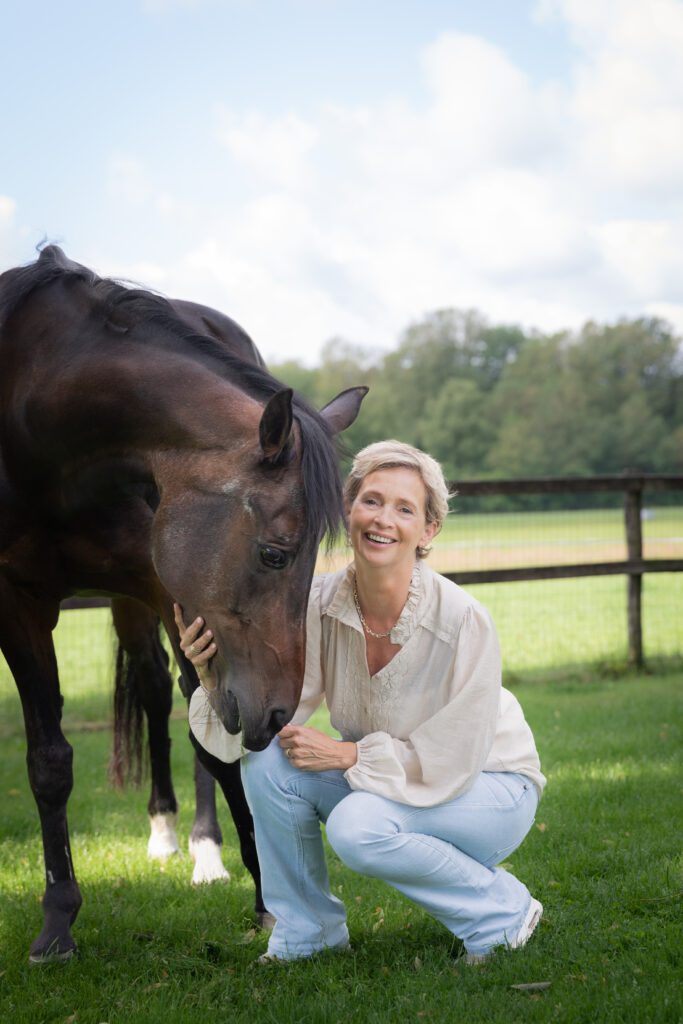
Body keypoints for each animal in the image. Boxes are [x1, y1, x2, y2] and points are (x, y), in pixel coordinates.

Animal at [0, 245, 367, 963]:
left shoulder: (170, 594)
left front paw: (267, 901)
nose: (279, 710)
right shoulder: (13, 602)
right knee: (151, 690)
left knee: (177, 702)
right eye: (276, 553)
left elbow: (213, 742)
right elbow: (48, 761)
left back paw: (202, 848)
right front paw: (57, 920)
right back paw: (165, 832)